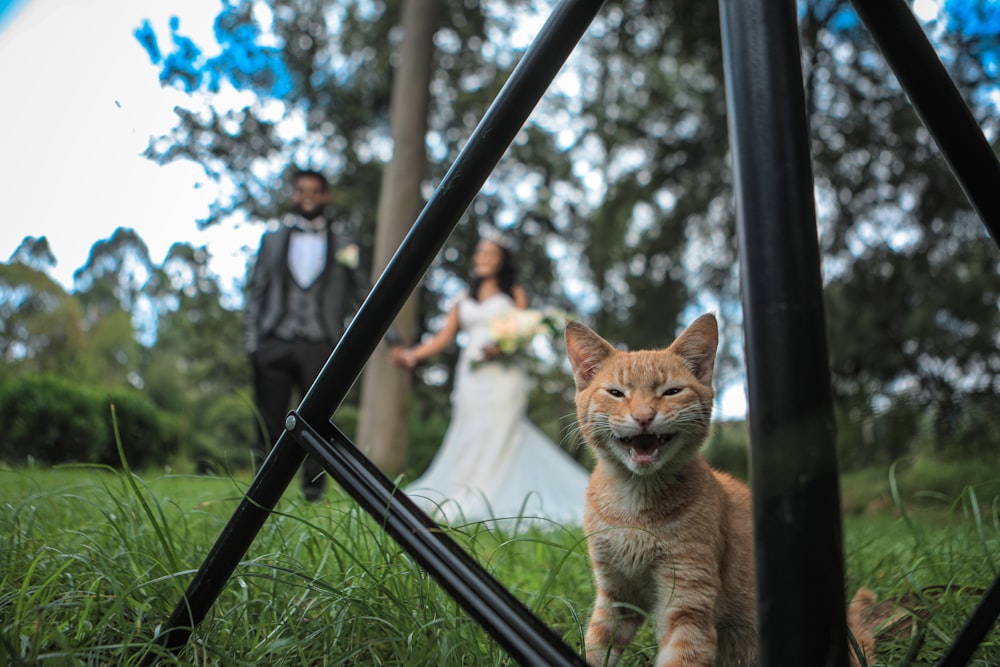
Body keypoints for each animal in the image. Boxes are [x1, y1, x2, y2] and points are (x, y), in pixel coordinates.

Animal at [568, 314, 872, 667]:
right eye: (616, 393)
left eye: (671, 392)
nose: (644, 417)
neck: (634, 506)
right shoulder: (616, 596)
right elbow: (596, 645)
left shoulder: (688, 600)